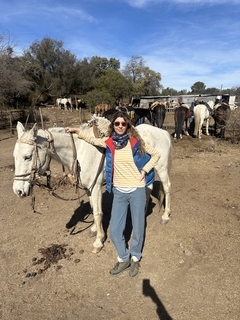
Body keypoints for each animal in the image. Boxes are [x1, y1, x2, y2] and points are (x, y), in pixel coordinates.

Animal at [13, 122, 172, 252]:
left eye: (27, 156)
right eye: (14, 156)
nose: (18, 190)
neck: (80, 151)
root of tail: (162, 132)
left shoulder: (95, 187)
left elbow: (97, 212)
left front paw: (98, 241)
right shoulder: (88, 188)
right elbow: (92, 207)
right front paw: (95, 229)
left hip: (161, 167)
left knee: (167, 187)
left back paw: (165, 216)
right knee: (148, 188)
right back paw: (142, 212)